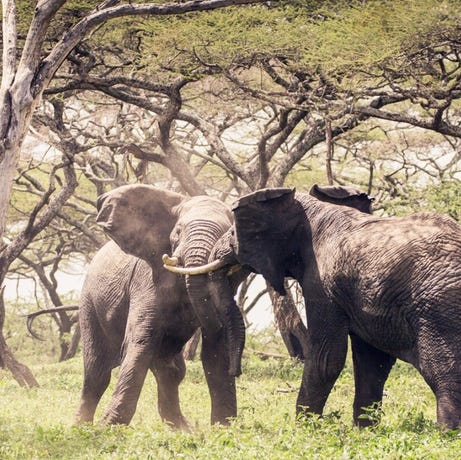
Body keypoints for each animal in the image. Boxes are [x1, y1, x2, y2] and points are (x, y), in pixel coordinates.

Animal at [75, 184, 246, 428]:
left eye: (228, 234)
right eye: (178, 232)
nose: (237, 370)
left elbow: (217, 347)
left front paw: (223, 428)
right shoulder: (147, 280)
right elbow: (141, 340)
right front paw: (107, 428)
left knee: (171, 371)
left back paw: (183, 430)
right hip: (89, 303)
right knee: (96, 373)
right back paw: (80, 427)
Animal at [191, 188, 461, 432]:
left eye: (234, 232)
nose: (235, 371)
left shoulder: (321, 284)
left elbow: (327, 357)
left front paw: (303, 430)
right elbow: (372, 362)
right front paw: (364, 431)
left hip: (437, 308)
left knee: (440, 369)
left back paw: (447, 433)